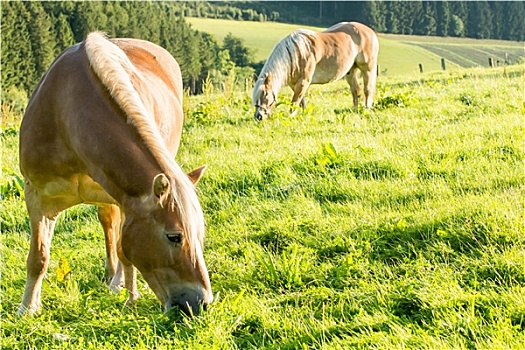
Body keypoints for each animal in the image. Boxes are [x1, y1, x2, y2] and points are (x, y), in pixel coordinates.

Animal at [18, 32, 211, 318]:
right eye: (174, 236)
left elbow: (124, 250)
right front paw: (28, 307)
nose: (202, 302)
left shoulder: (124, 198)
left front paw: (130, 296)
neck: (68, 116)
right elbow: (39, 257)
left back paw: (116, 280)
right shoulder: (38, 196)